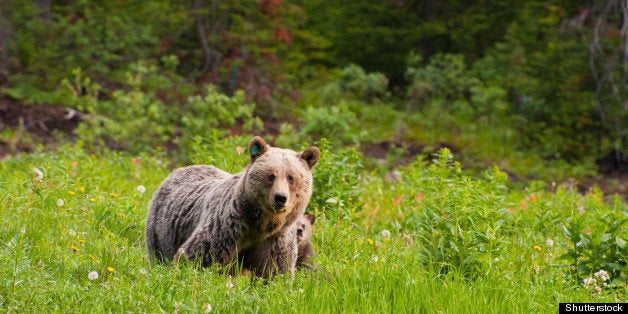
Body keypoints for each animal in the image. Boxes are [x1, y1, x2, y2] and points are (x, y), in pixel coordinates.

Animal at [146, 135, 318, 278]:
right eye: (271, 175)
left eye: (291, 177)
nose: (280, 198)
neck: (261, 224)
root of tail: (178, 170)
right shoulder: (228, 227)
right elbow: (199, 256)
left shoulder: (275, 239)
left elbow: (274, 269)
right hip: (162, 230)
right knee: (158, 254)